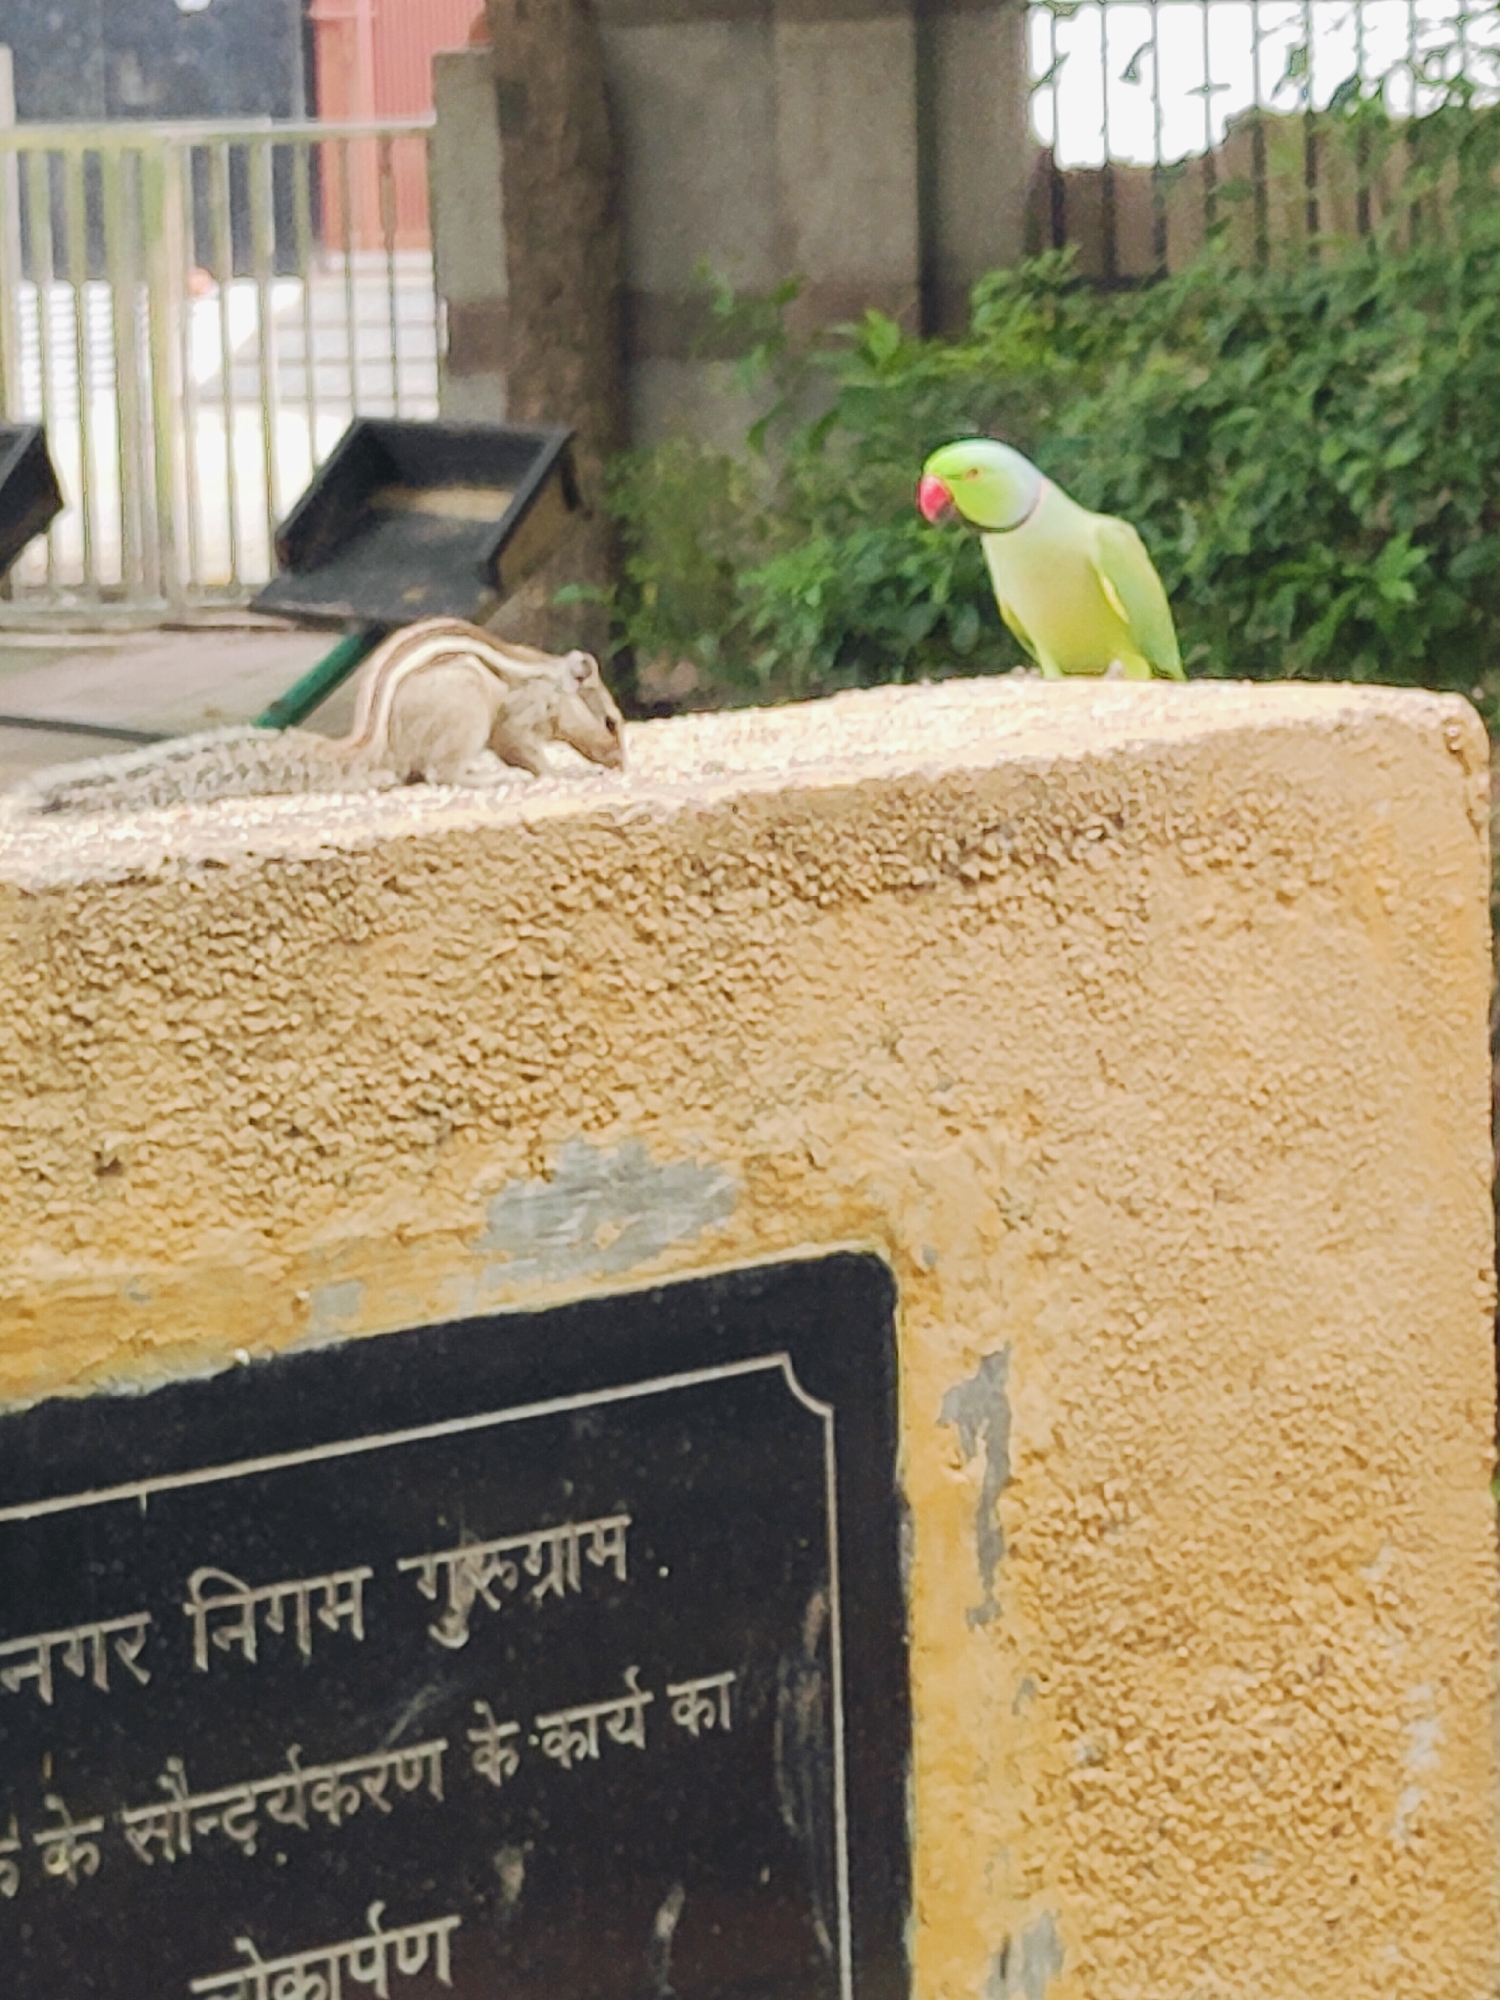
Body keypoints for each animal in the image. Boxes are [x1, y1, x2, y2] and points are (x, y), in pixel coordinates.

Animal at [11, 618, 626, 817]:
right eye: (612, 723)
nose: (621, 762)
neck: (552, 679)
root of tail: (371, 748)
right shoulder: (517, 716)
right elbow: (522, 747)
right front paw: (555, 771)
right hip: (465, 697)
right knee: (437, 770)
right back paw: (481, 777)